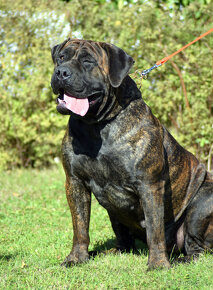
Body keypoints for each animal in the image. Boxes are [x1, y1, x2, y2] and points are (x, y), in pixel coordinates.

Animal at [50, 38, 213, 270]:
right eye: (61, 58)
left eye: (88, 61)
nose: (61, 72)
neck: (98, 125)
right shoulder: (74, 181)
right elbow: (80, 226)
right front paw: (76, 258)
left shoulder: (149, 184)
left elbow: (154, 229)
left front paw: (158, 264)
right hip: (115, 214)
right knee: (124, 241)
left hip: (202, 203)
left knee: (198, 247)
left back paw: (181, 259)